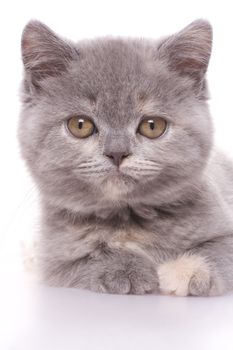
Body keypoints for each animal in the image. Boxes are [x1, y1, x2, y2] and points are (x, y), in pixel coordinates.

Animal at [18, 19, 233, 296]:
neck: (129, 221)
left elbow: (220, 250)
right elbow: (90, 259)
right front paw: (126, 270)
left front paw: (189, 271)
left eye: (153, 126)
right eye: (80, 125)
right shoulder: (57, 259)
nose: (117, 152)